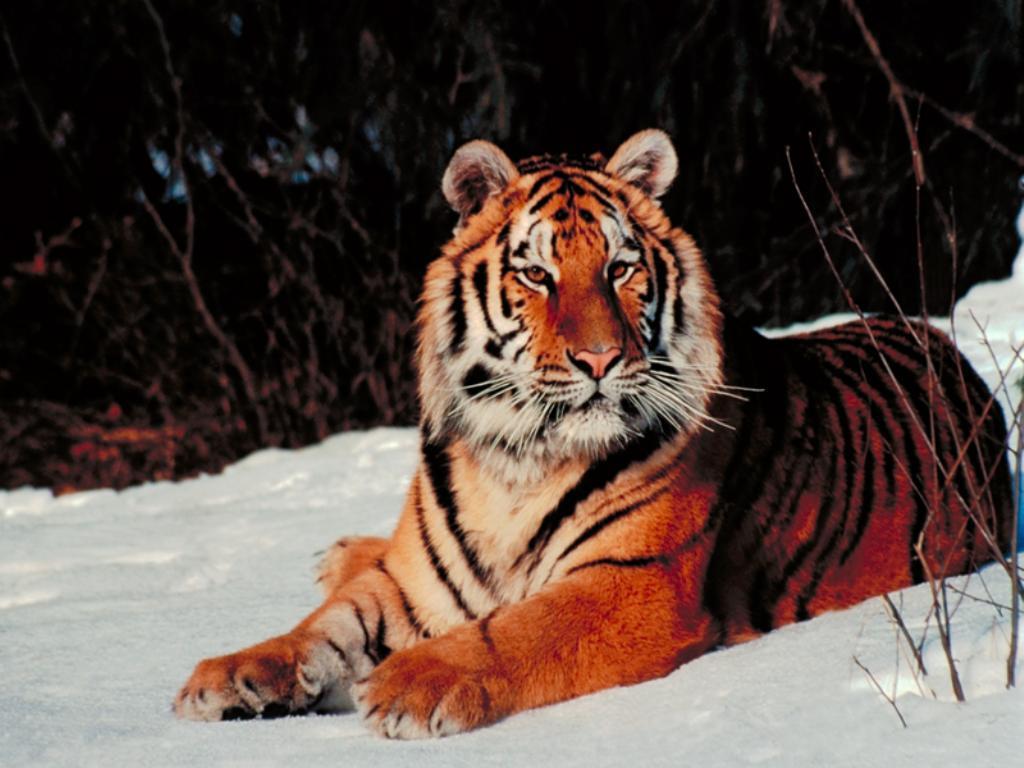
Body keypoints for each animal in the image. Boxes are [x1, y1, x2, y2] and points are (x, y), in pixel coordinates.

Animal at [174, 129, 1013, 738]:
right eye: (537, 275)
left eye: (619, 269)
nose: (602, 359)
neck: (515, 459)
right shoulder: (414, 580)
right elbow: (323, 628)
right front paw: (228, 676)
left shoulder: (633, 581)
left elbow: (513, 630)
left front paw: (410, 684)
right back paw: (337, 553)